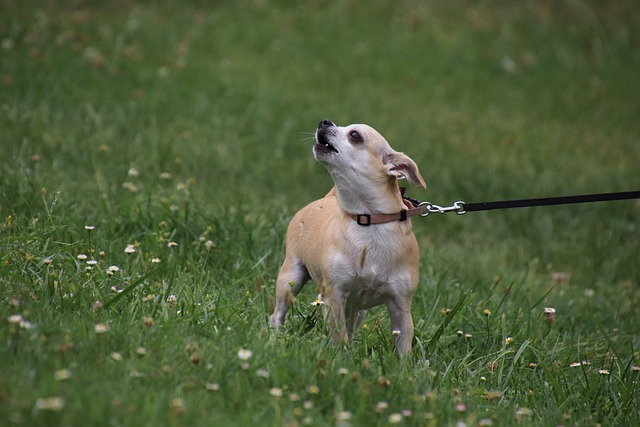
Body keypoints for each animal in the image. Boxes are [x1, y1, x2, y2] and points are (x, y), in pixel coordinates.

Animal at [270, 119, 424, 354]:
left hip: (357, 309)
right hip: (291, 278)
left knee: (351, 328)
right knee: (278, 313)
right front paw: (340, 358)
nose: (324, 121)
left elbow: (403, 346)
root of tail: (327, 198)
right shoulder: (333, 297)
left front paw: (404, 364)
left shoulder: (401, 307)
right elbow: (339, 338)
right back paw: (275, 338)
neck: (369, 221)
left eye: (354, 135)